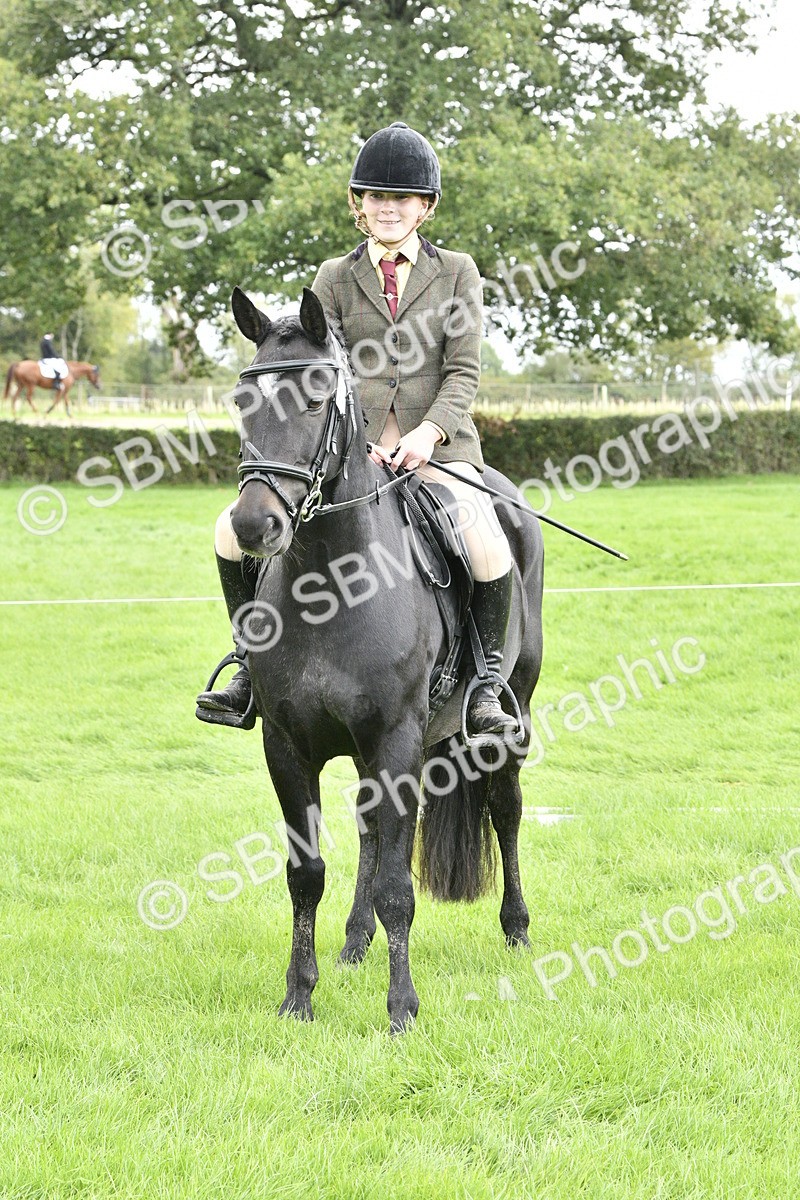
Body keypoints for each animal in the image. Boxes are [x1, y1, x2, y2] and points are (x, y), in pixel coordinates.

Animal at [226, 284, 544, 1032]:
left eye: (317, 398)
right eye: (242, 399)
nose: (253, 525)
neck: (330, 582)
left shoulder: (395, 736)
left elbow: (401, 884)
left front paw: (401, 1009)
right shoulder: (289, 745)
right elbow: (306, 874)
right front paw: (299, 997)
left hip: (506, 713)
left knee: (505, 807)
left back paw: (516, 930)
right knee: (373, 829)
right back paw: (353, 942)